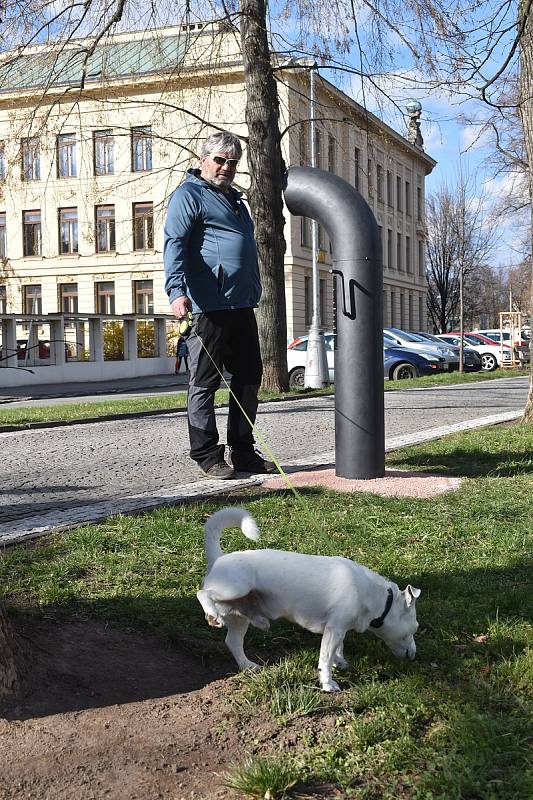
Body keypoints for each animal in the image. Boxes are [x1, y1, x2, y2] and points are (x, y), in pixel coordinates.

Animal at [195, 510, 420, 692]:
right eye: (414, 629)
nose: (414, 654)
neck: (379, 599)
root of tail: (218, 558)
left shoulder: (339, 629)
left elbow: (338, 649)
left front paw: (340, 661)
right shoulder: (334, 629)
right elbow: (325, 659)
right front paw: (328, 684)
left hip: (240, 616)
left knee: (232, 641)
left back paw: (247, 665)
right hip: (234, 587)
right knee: (203, 593)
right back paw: (212, 614)